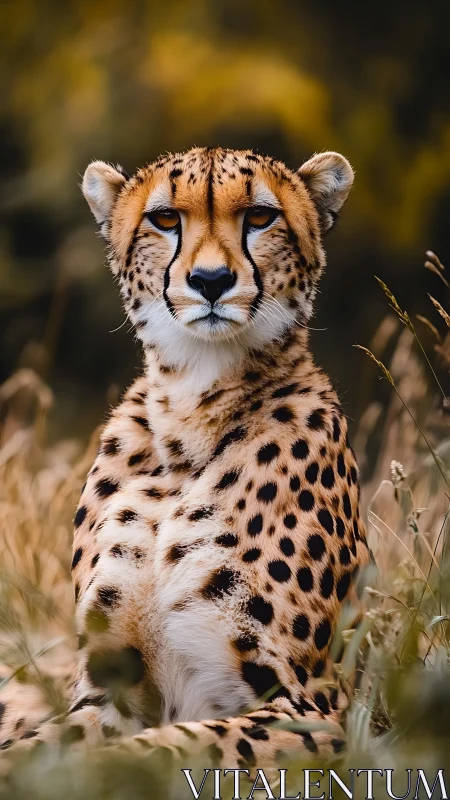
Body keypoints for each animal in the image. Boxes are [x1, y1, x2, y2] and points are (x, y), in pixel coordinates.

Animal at [0, 145, 372, 771]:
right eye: (166, 219)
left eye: (260, 217)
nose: (211, 280)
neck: (192, 409)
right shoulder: (105, 690)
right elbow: (41, 746)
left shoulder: (313, 710)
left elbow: (168, 745)